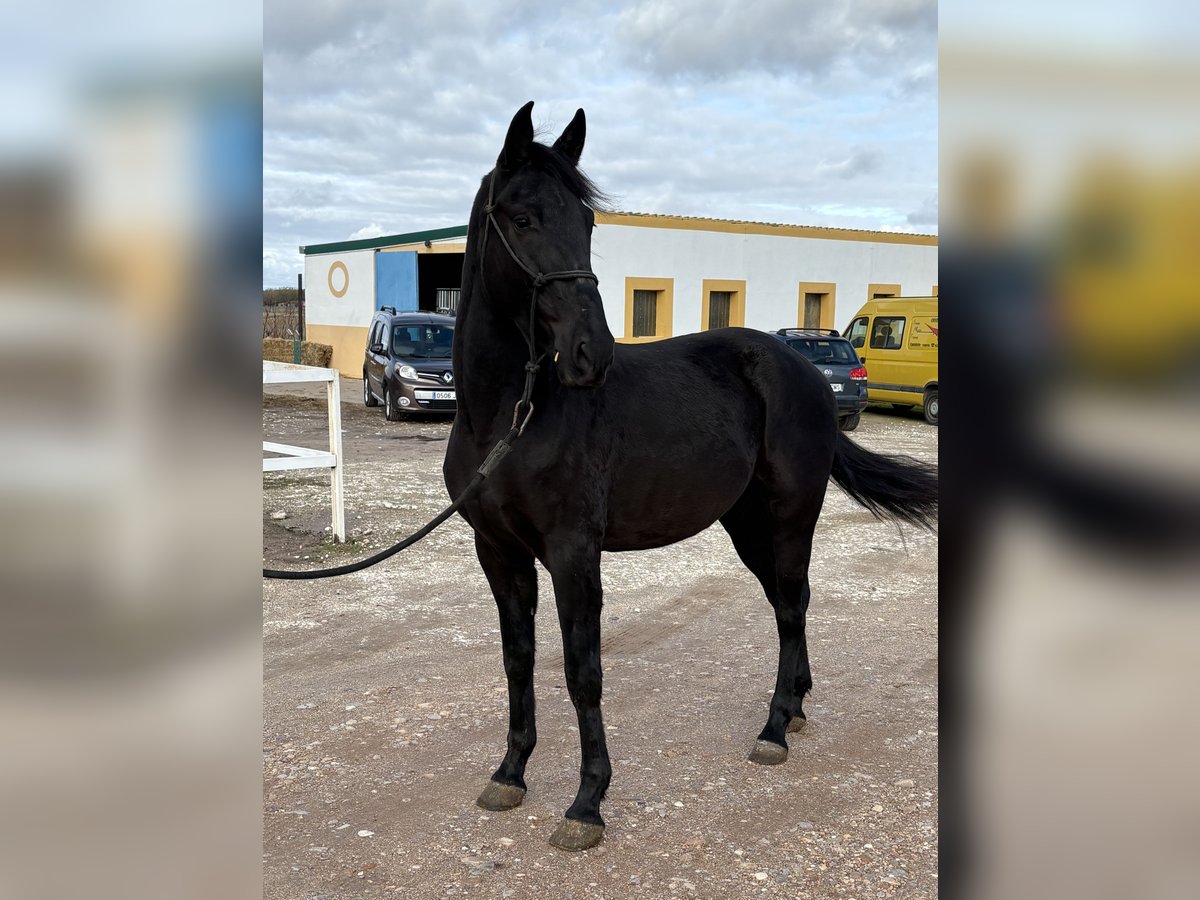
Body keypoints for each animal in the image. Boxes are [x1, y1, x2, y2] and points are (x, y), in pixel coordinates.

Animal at [443, 101, 937, 851]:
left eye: (587, 223)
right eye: (523, 217)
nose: (591, 355)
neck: (509, 416)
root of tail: (803, 370)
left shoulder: (573, 552)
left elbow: (582, 671)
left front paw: (587, 803)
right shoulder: (498, 551)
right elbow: (518, 659)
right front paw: (510, 773)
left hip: (792, 513)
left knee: (791, 605)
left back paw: (773, 731)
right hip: (745, 523)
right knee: (790, 601)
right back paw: (794, 707)